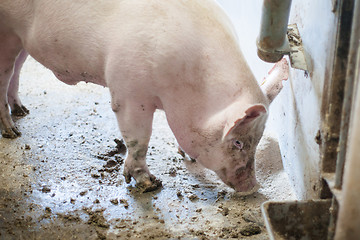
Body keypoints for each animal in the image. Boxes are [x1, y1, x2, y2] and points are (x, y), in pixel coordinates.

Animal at [0, 0, 288, 194]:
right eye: (238, 142)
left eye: (258, 138)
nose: (253, 187)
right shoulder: (128, 90)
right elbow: (139, 139)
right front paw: (150, 185)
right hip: (7, 32)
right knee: (5, 74)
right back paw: (12, 132)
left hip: (22, 40)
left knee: (18, 68)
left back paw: (22, 111)